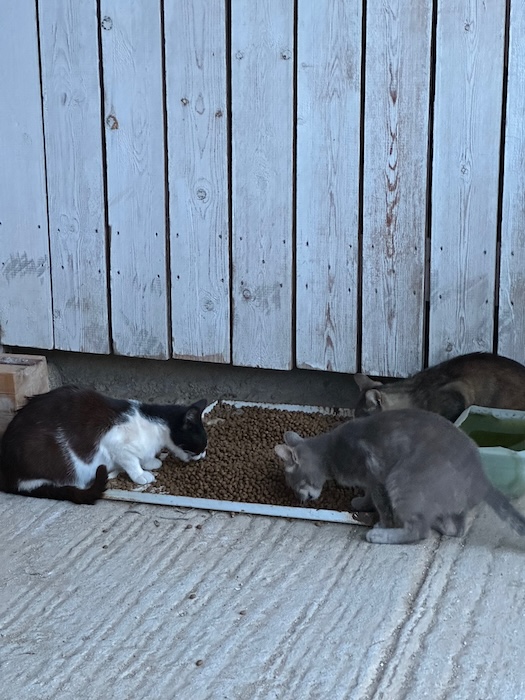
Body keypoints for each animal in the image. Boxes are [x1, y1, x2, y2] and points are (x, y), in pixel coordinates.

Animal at [0, 386, 209, 506]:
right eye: (199, 445)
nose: (203, 456)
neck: (156, 428)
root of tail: (8, 477)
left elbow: (144, 457)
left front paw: (151, 462)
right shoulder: (117, 444)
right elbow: (132, 462)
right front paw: (141, 475)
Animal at [272, 410, 524, 548]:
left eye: (296, 485)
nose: (303, 499)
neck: (331, 452)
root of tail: (481, 479)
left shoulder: (375, 476)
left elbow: (381, 504)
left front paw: (381, 521)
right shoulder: (371, 480)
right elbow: (368, 495)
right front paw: (361, 502)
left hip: (402, 481)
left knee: (419, 531)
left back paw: (381, 535)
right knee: (457, 527)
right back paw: (439, 522)